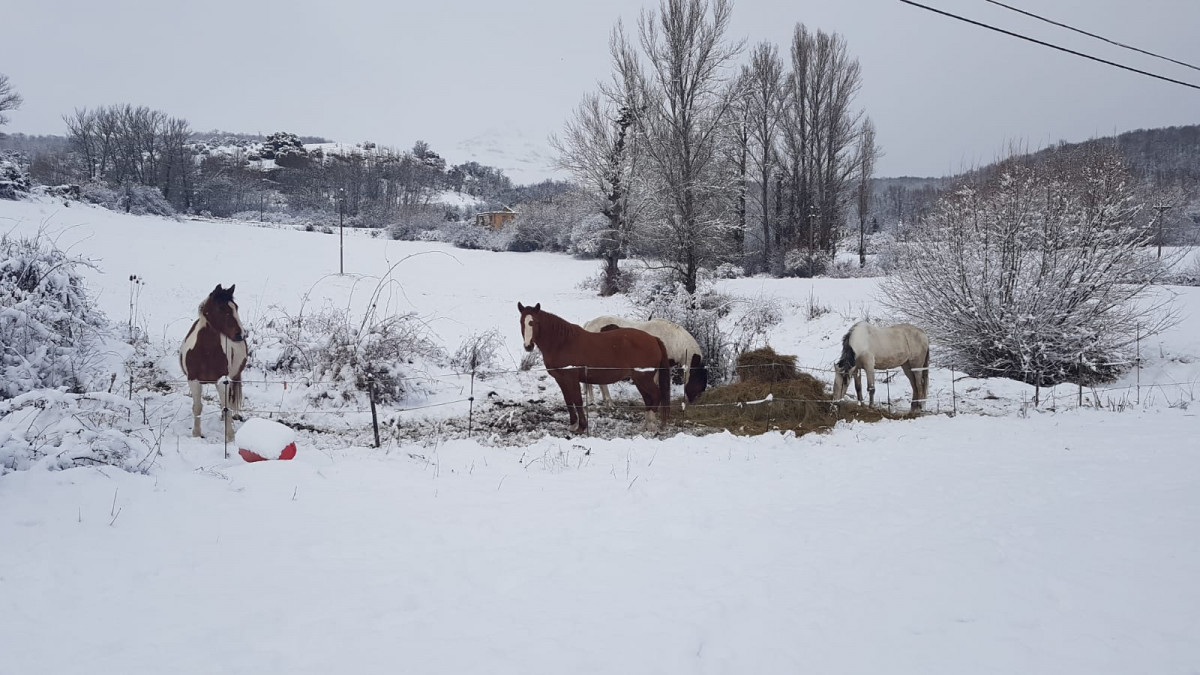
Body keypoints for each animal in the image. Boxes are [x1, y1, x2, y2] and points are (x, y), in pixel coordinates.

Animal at [178, 281, 247, 439]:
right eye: (221, 308)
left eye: (236, 307)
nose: (240, 335)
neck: (206, 352)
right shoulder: (193, 380)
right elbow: (197, 407)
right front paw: (196, 434)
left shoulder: (223, 380)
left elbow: (227, 407)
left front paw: (230, 437)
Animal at [516, 299, 672, 429]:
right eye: (521, 322)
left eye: (535, 322)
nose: (528, 346)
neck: (562, 343)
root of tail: (654, 339)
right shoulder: (560, 379)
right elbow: (568, 401)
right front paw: (573, 424)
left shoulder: (571, 378)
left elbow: (577, 400)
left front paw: (582, 426)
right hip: (640, 379)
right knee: (648, 399)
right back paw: (645, 425)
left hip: (644, 378)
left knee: (655, 395)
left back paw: (651, 427)